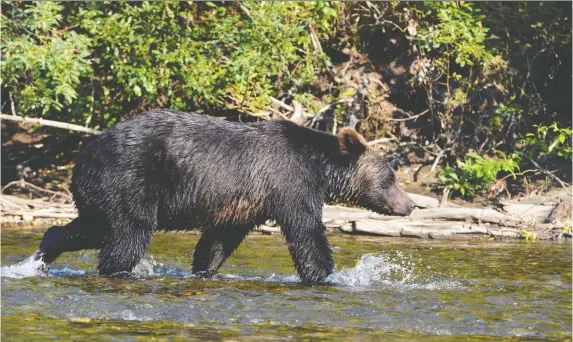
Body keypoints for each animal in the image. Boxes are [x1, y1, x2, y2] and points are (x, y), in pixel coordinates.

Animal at [34, 109, 412, 284]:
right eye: (390, 178)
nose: (410, 204)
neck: (319, 168)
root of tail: (81, 156)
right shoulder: (289, 182)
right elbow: (306, 233)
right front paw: (328, 276)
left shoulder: (244, 201)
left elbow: (218, 240)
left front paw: (205, 269)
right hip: (129, 180)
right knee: (128, 234)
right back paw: (117, 269)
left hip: (101, 191)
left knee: (89, 227)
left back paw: (44, 254)